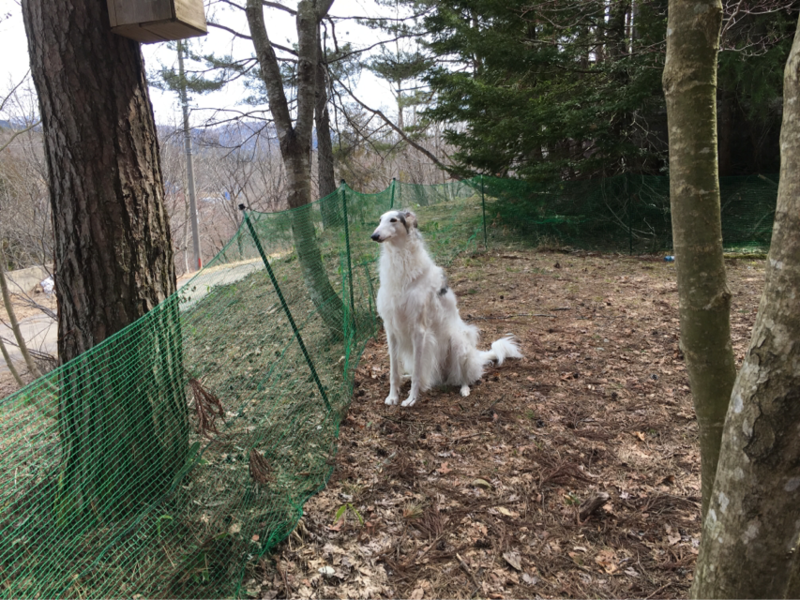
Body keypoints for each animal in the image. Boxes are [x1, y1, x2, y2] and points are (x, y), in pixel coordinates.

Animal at [371, 209, 523, 407]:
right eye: (380, 220)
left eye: (393, 219)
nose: (374, 236)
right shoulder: (391, 328)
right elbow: (393, 370)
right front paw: (393, 396)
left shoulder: (419, 330)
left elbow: (417, 373)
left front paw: (411, 399)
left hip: (458, 343)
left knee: (465, 376)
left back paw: (464, 389)